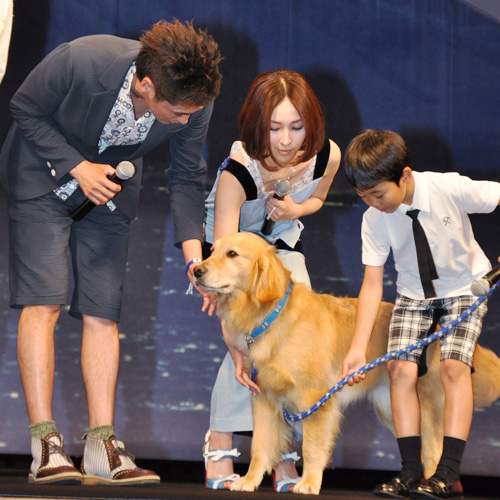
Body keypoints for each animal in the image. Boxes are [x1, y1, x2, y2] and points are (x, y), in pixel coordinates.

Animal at [194, 232, 500, 494]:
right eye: (212, 250)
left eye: (232, 254)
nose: (196, 270)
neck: (271, 315)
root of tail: (436, 330)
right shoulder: (263, 398)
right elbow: (259, 445)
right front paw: (249, 481)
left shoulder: (315, 399)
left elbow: (313, 447)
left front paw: (309, 483)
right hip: (393, 409)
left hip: (425, 406)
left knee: (435, 451)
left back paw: (435, 486)